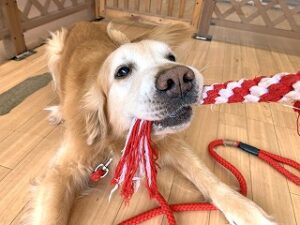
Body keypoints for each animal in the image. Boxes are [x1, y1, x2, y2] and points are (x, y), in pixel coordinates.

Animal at [25, 21, 276, 225]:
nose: (179, 79)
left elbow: (206, 175)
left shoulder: (173, 143)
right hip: (53, 50)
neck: (118, 139)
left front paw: (245, 209)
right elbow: (51, 215)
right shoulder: (61, 172)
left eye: (171, 58)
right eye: (122, 71)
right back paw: (59, 111)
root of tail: (81, 22)